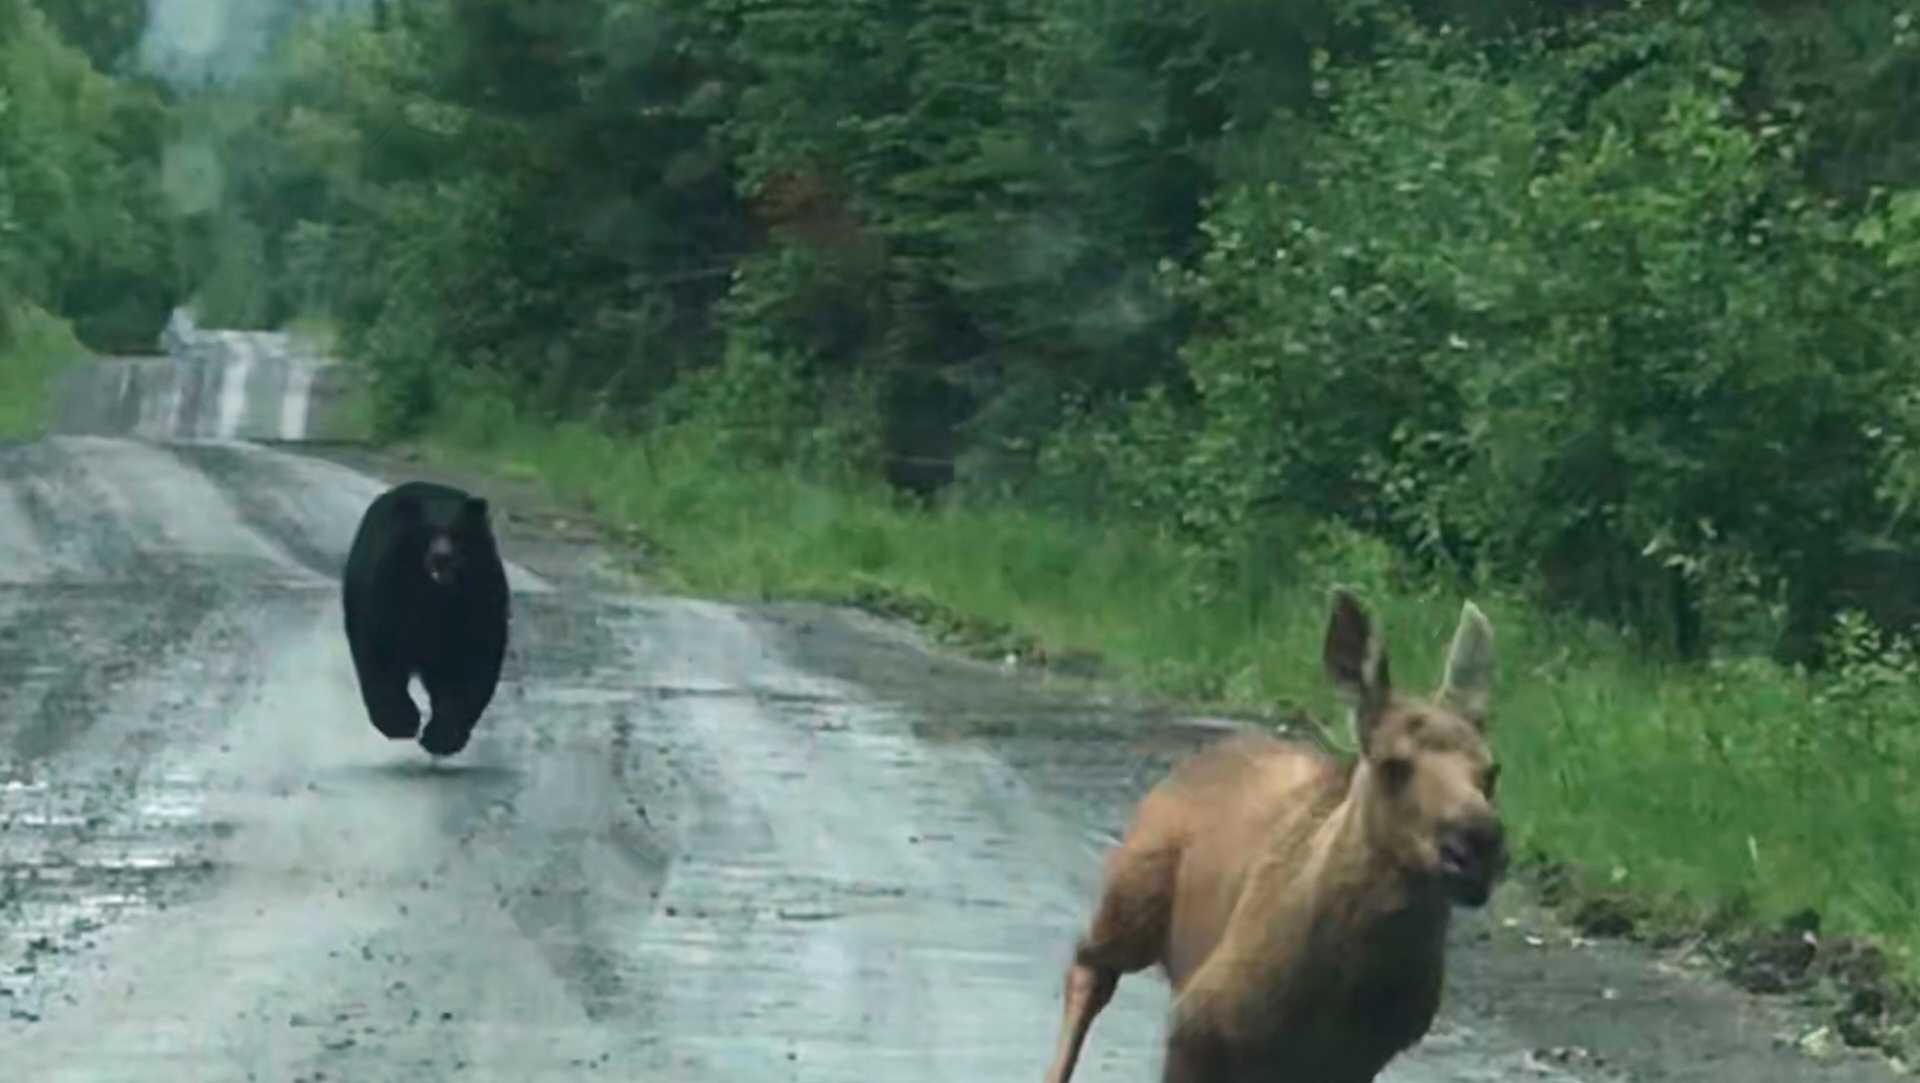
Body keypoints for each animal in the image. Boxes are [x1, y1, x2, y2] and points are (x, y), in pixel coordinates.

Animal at [341, 480, 510, 758]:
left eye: (457, 533)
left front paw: (443, 736)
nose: (442, 557)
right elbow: (381, 651)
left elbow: (473, 662)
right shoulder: (387, 592)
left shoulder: (480, 598)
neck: (435, 595)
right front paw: (399, 722)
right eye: (426, 532)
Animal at [1042, 587, 1506, 1083]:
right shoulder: (1195, 1024)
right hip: (1133, 894)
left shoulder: (1356, 1060)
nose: (1476, 846)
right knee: (1090, 966)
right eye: (1392, 764)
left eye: (1492, 771)